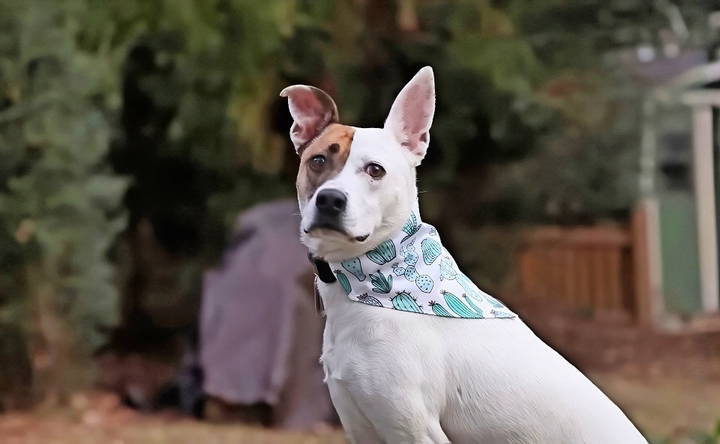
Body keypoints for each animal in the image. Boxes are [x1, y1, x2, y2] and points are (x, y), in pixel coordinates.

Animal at [282, 67, 648, 444]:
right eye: (318, 160)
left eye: (375, 170)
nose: (330, 199)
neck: (367, 282)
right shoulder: (361, 426)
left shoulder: (417, 431)